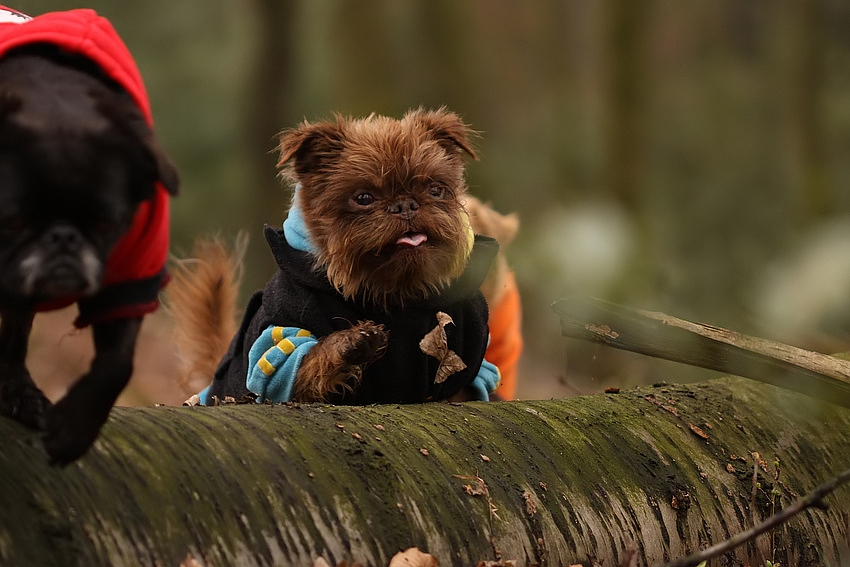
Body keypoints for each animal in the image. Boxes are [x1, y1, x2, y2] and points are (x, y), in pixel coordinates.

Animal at [0, 10, 179, 462]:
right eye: (10, 221)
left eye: (106, 224)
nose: (63, 238)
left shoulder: (131, 281)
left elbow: (118, 364)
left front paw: (73, 428)